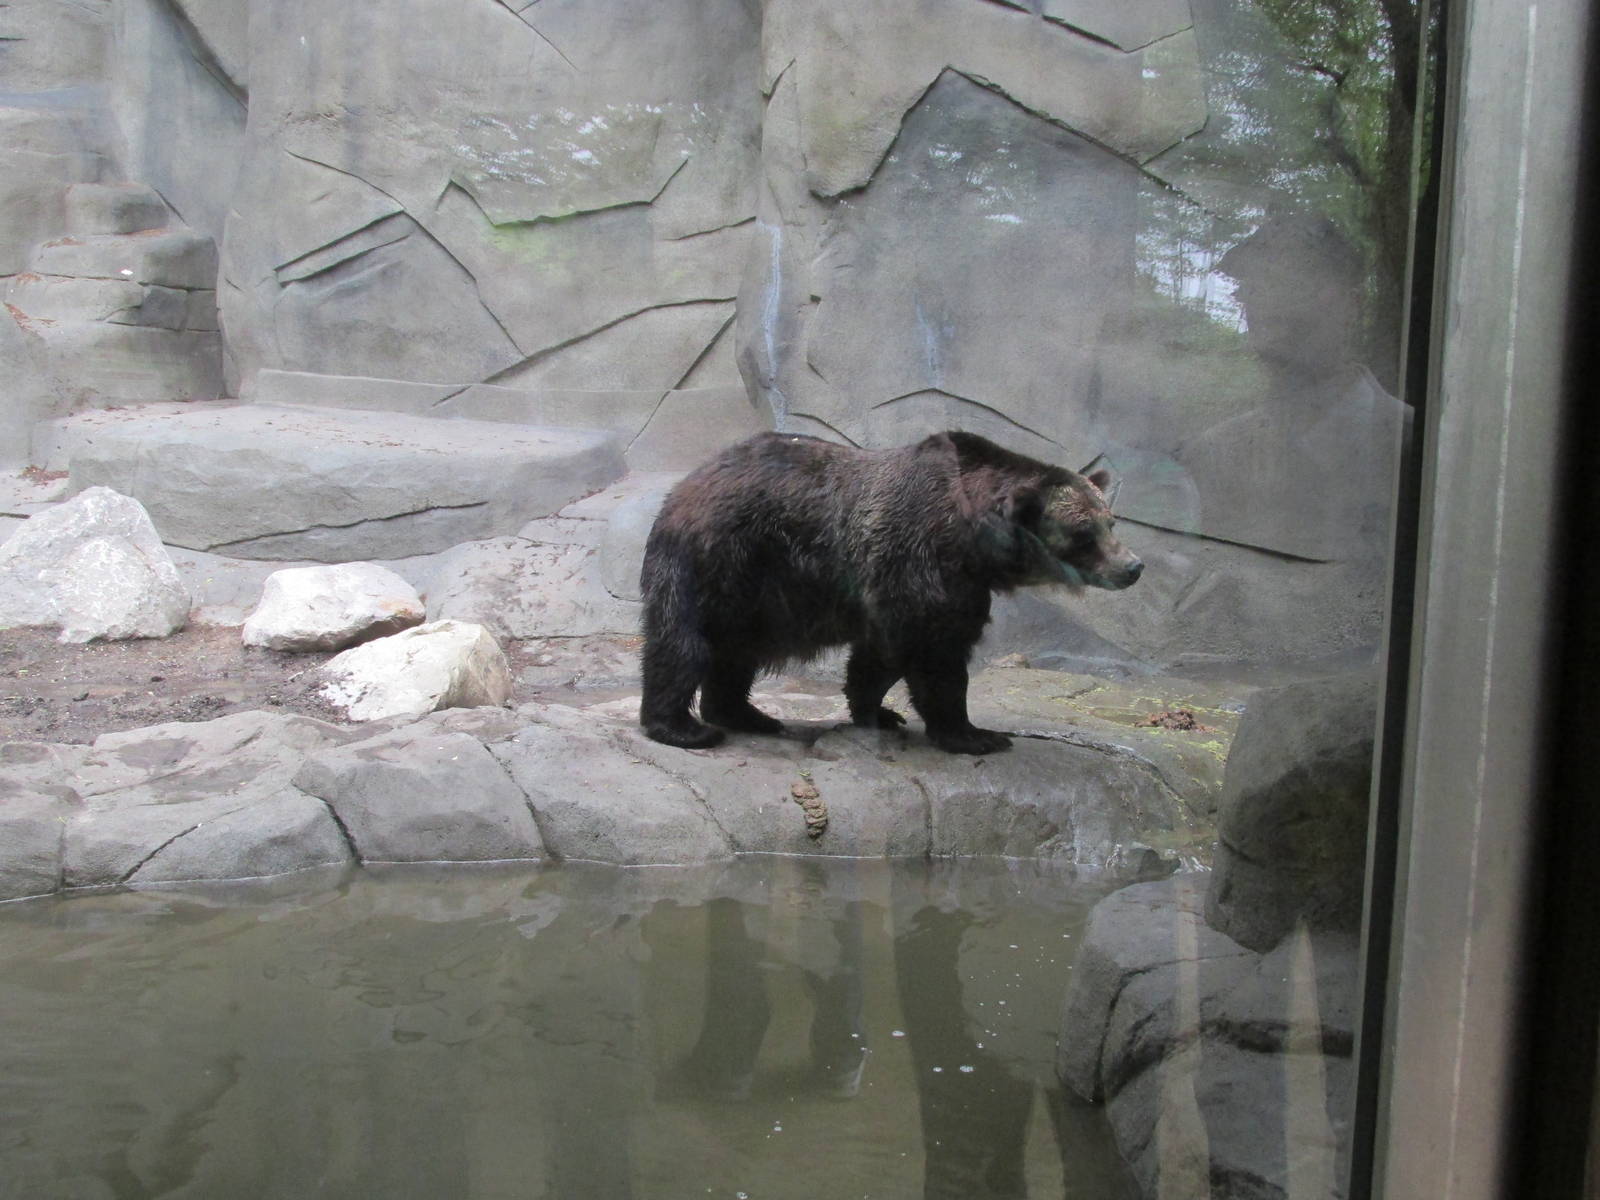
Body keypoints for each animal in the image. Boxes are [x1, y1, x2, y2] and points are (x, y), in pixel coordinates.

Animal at [638, 430, 1142, 755]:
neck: (972, 540)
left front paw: (878, 713)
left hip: (749, 595)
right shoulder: (920, 563)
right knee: (684, 643)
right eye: (1084, 532)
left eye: (1111, 522)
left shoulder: (928, 582)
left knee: (736, 653)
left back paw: (748, 715)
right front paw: (974, 734)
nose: (1133, 567)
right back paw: (683, 728)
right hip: (723, 561)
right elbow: (933, 654)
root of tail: (684, 486)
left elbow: (876, 655)